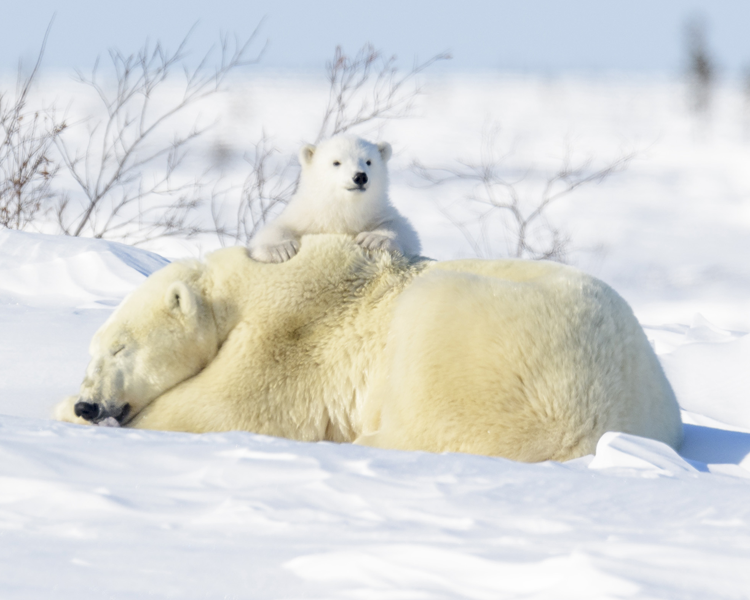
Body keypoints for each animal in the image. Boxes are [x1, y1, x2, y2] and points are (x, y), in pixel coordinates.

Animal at [54, 235, 683, 462]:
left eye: (119, 349)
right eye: (95, 348)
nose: (88, 401)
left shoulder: (294, 327)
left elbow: (229, 404)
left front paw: (66, 412)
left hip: (488, 347)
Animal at [249, 136, 421, 263]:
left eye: (369, 161)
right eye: (336, 162)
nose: (360, 176)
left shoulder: (376, 212)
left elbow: (405, 229)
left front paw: (374, 239)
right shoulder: (306, 216)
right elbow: (277, 227)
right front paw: (279, 250)